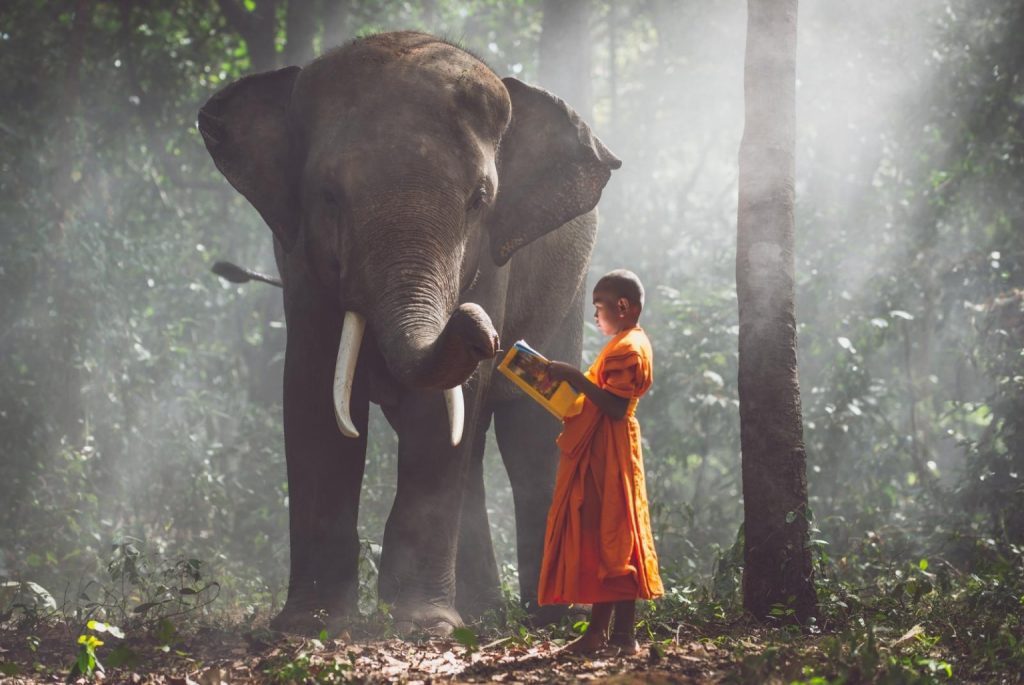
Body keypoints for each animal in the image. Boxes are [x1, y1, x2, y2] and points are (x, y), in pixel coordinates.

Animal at [198, 31, 620, 635]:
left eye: (480, 200)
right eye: (328, 195)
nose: (486, 333)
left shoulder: (494, 257)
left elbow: (440, 412)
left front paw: (422, 624)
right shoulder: (296, 253)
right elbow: (312, 388)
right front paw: (310, 623)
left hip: (568, 292)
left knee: (529, 434)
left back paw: (553, 618)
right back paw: (485, 611)